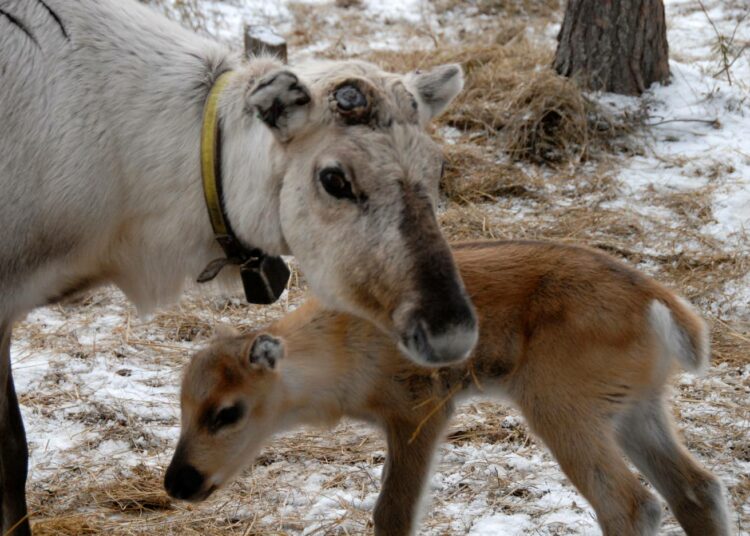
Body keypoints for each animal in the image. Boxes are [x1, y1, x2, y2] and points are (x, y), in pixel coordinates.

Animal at [167, 243, 732, 536]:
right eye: (184, 407)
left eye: (227, 412)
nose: (178, 482)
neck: (345, 345)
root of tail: (663, 309)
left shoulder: (419, 409)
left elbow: (393, 513)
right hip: (635, 407)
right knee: (697, 490)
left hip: (561, 404)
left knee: (631, 503)